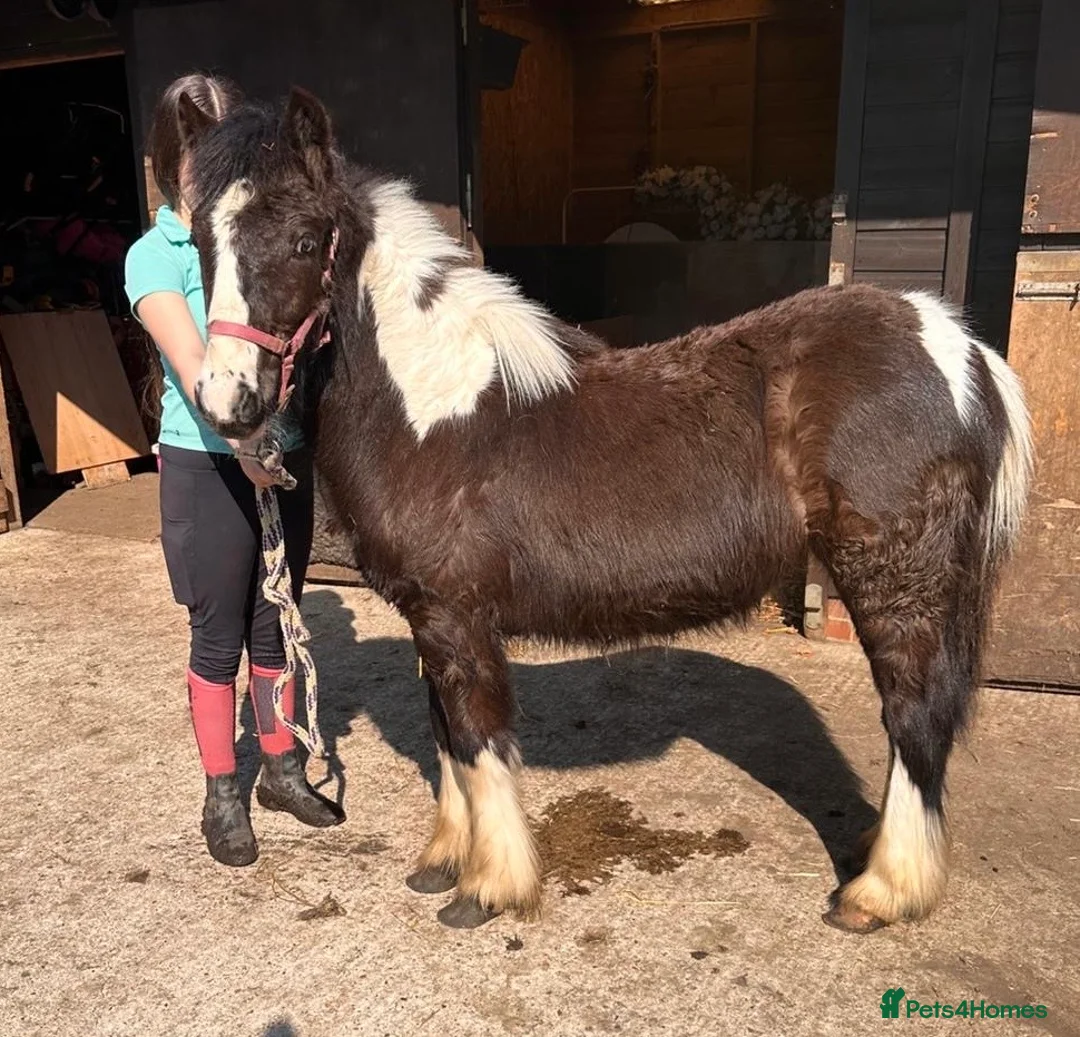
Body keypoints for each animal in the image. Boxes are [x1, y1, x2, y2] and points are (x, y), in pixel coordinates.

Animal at [179, 87, 1033, 933]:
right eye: (199, 241)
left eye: (302, 239)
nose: (226, 400)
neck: (432, 406)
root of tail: (956, 347)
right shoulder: (432, 617)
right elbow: (446, 734)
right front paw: (444, 861)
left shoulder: (459, 618)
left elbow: (478, 738)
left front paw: (487, 887)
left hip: (895, 581)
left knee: (914, 715)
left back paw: (879, 892)